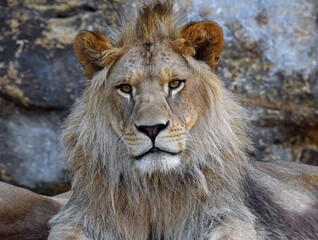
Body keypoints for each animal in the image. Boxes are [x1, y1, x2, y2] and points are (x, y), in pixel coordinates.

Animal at [45, 0, 318, 240]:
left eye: (175, 84)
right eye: (125, 88)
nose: (152, 128)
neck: (155, 188)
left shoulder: (230, 216)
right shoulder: (76, 218)